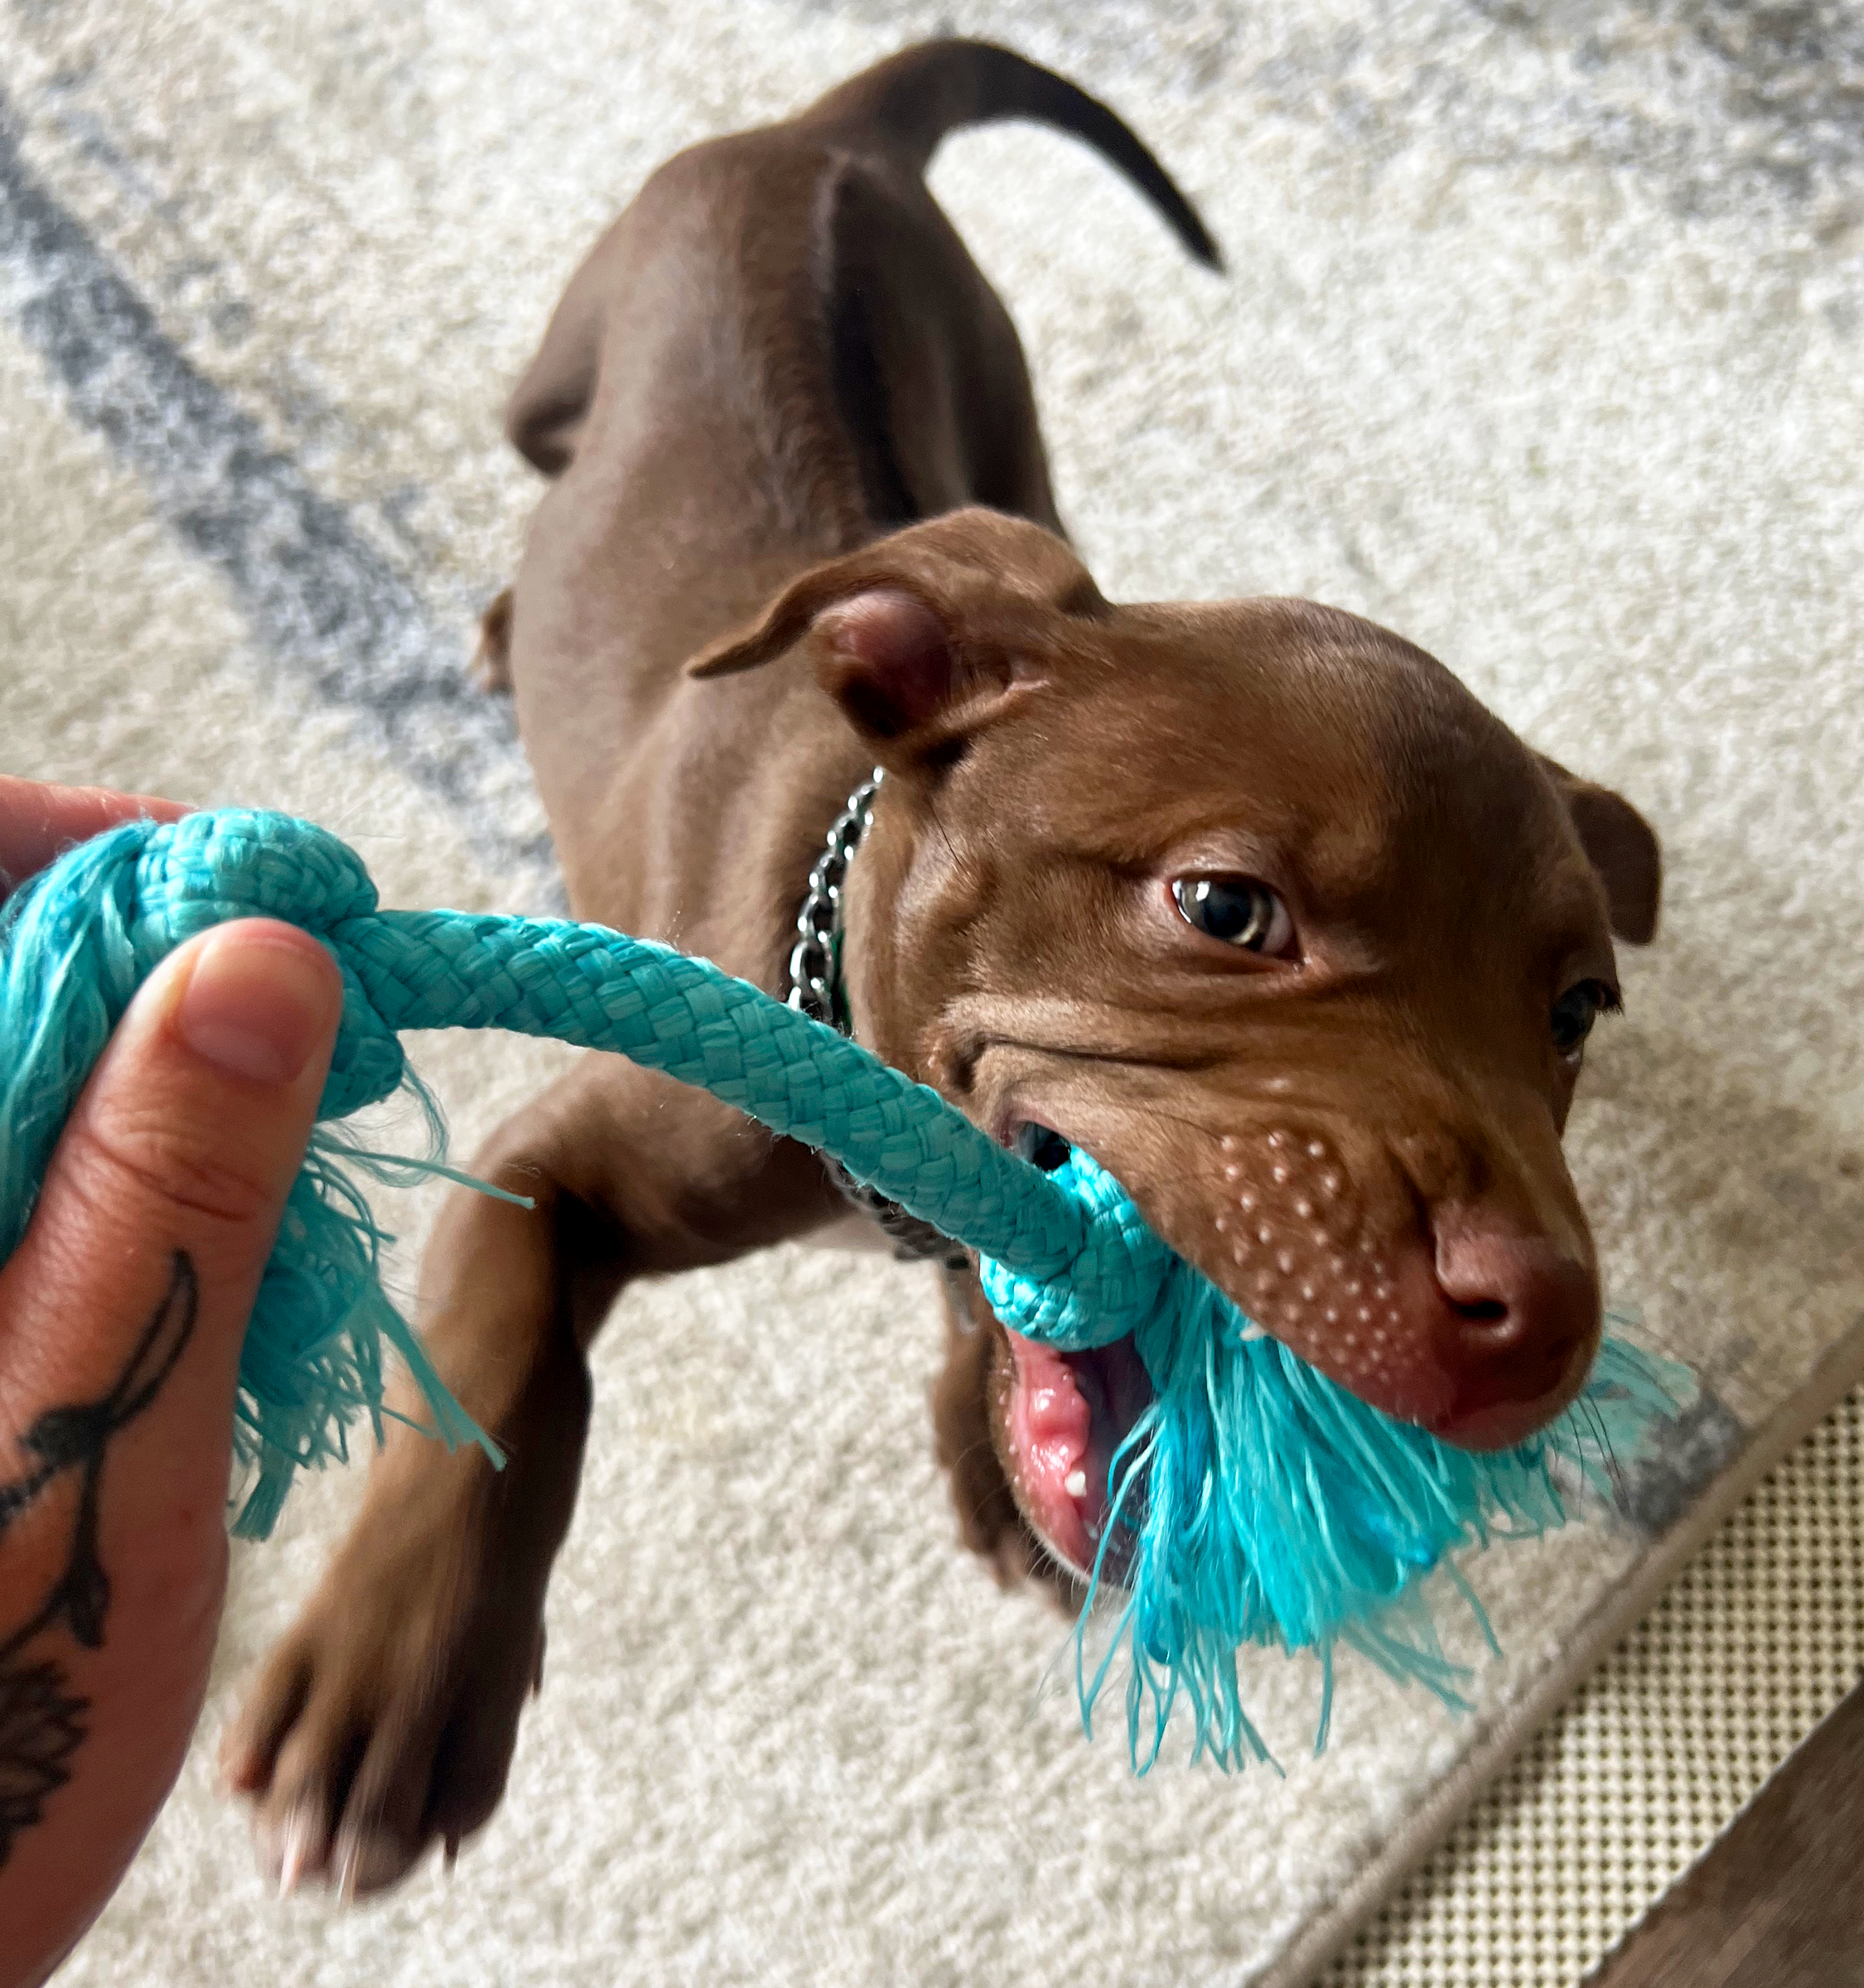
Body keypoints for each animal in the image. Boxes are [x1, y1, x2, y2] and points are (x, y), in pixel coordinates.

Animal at [221, 35, 1653, 1892]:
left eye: (1576, 1009)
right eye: (1223, 909)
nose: (1543, 1322)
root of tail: (831, 132)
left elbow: (993, 1286)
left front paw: (995, 1444)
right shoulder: (563, 1156)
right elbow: (505, 1358)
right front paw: (396, 1662)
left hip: (1003, 415)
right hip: (562, 375)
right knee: (541, 468)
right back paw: (494, 616)